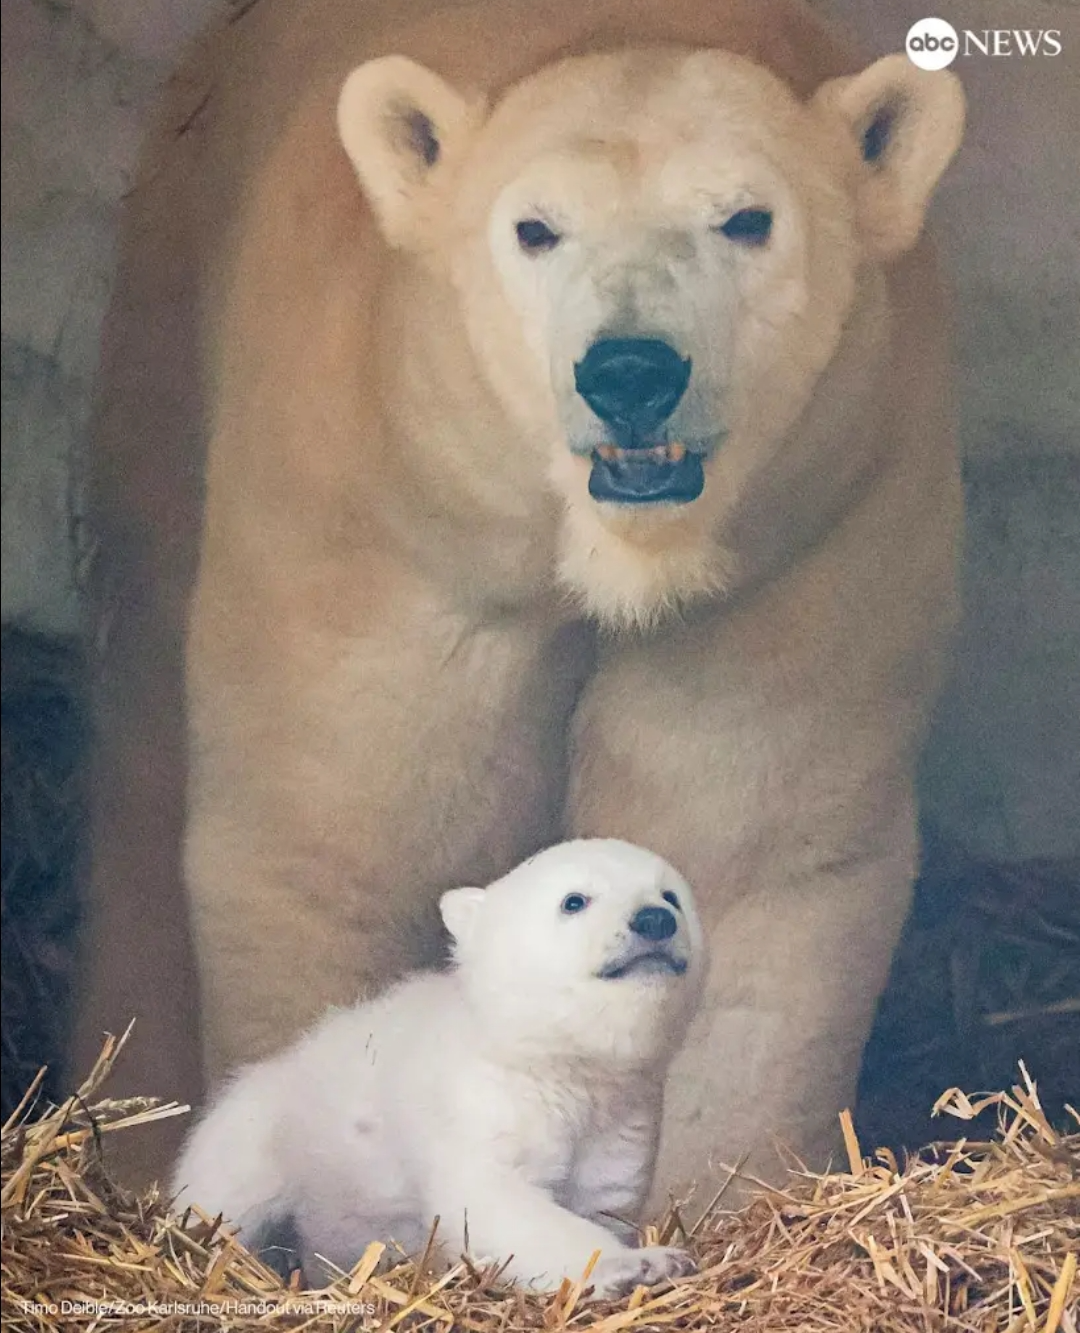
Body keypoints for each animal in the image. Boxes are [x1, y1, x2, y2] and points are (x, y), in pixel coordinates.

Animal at [78, 0, 965, 1210]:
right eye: (535, 229)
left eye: (747, 219)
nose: (631, 371)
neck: (617, 566)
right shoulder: (382, 518)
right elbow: (333, 840)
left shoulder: (802, 542)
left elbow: (748, 854)